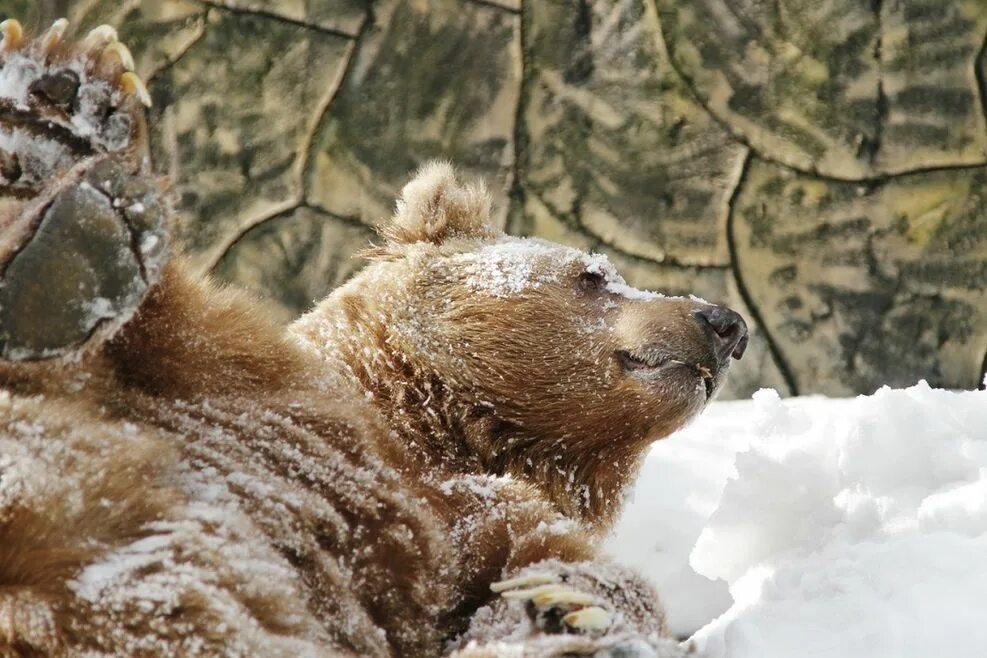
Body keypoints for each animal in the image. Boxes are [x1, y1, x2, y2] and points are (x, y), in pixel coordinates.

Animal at [0, 19, 744, 656]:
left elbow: (535, 570)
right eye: (593, 274)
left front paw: (566, 612)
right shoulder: (229, 374)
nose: (724, 324)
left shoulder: (451, 528)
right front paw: (62, 110)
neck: (422, 423)